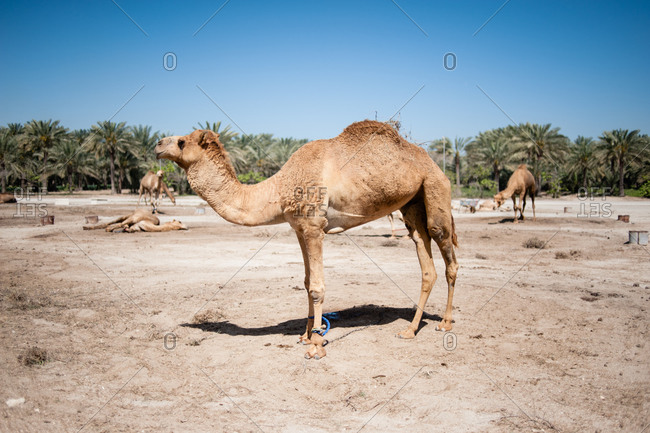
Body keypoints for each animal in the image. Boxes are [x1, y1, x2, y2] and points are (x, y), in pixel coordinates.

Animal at [155, 121, 458, 359]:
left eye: (182, 142)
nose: (157, 144)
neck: (280, 187)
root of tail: (432, 163)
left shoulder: (314, 226)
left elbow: (317, 287)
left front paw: (315, 346)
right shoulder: (299, 228)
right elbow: (305, 281)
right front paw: (305, 335)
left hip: (435, 189)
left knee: (447, 253)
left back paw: (445, 323)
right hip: (412, 203)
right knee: (424, 257)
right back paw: (410, 329)